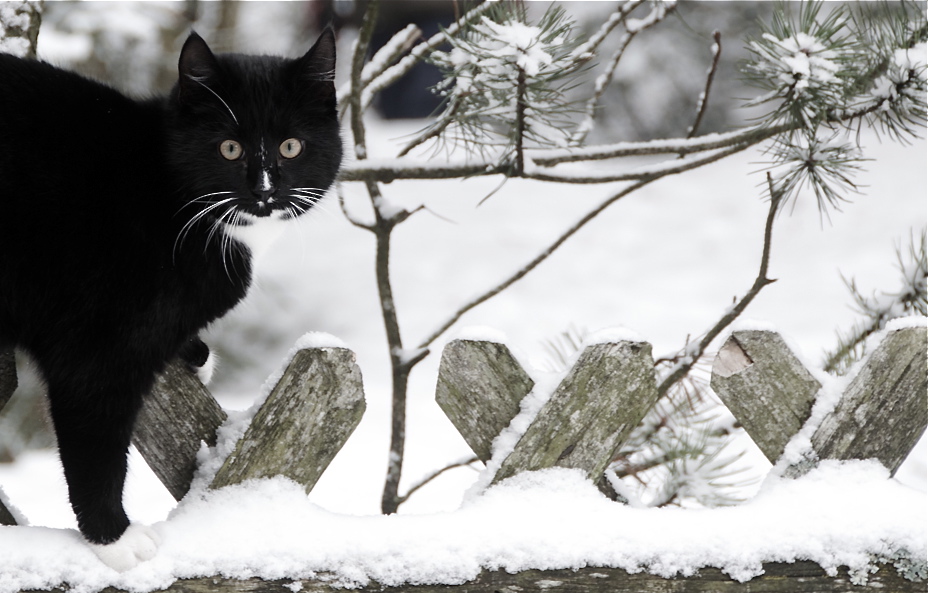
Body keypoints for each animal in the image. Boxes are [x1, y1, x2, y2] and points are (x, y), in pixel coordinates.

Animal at [0, 30, 342, 568]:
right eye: (228, 148)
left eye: (291, 147)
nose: (264, 192)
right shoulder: (96, 348)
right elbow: (95, 440)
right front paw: (112, 536)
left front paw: (195, 355)